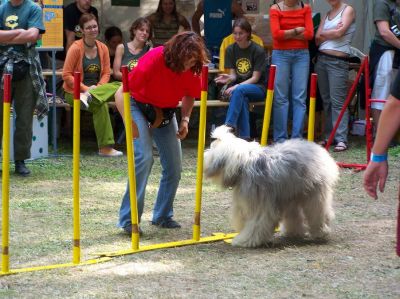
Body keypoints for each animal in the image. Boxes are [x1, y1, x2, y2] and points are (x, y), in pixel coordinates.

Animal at [205, 126, 340, 248]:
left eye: (212, 148)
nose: (205, 154)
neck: (243, 163)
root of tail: (318, 149)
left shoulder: (259, 206)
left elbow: (255, 224)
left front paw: (243, 241)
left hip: (314, 193)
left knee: (319, 213)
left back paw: (321, 232)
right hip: (290, 194)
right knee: (295, 215)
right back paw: (292, 232)